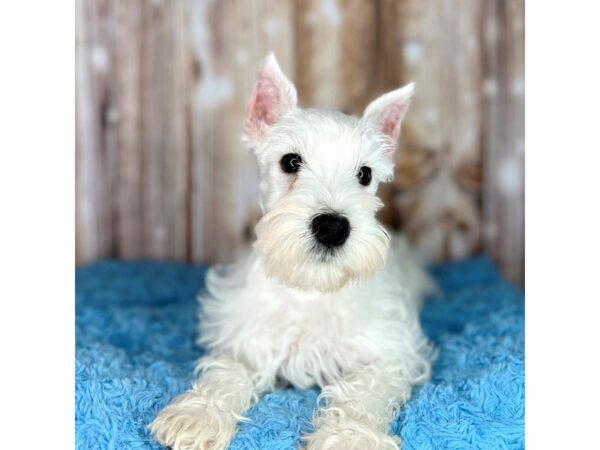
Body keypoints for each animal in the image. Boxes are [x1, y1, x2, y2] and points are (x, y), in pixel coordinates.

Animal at [151, 53, 436, 450]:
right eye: (290, 161)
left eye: (364, 174)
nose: (332, 227)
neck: (311, 289)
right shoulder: (246, 342)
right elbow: (227, 372)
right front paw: (199, 414)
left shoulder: (388, 355)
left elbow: (364, 394)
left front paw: (349, 436)